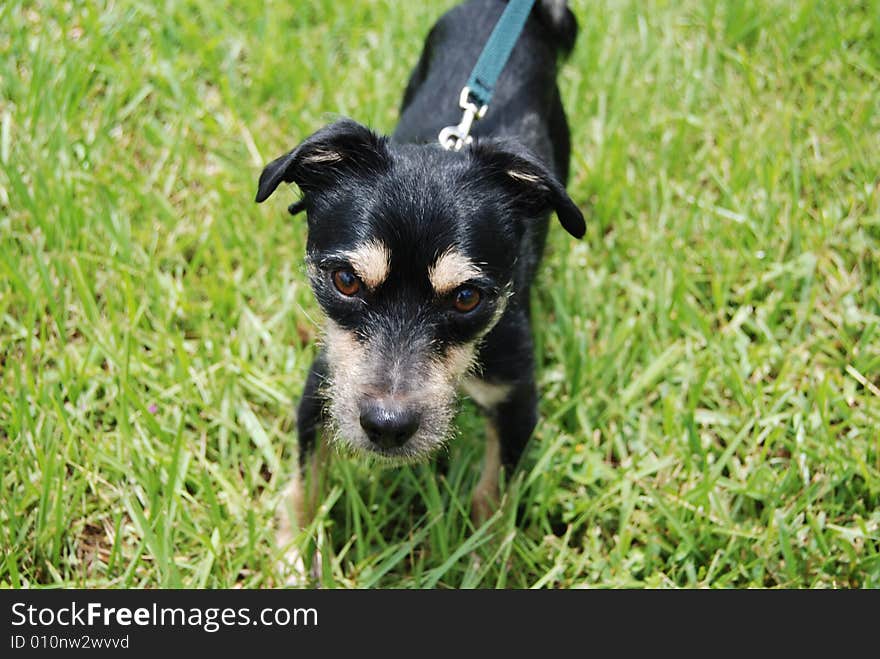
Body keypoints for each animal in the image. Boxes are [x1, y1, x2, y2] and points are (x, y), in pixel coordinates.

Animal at [254, 0, 584, 576]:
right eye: (345, 281)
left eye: (468, 298)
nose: (387, 425)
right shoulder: (325, 381)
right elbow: (305, 482)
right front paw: (293, 552)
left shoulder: (516, 399)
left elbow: (493, 495)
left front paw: (484, 562)